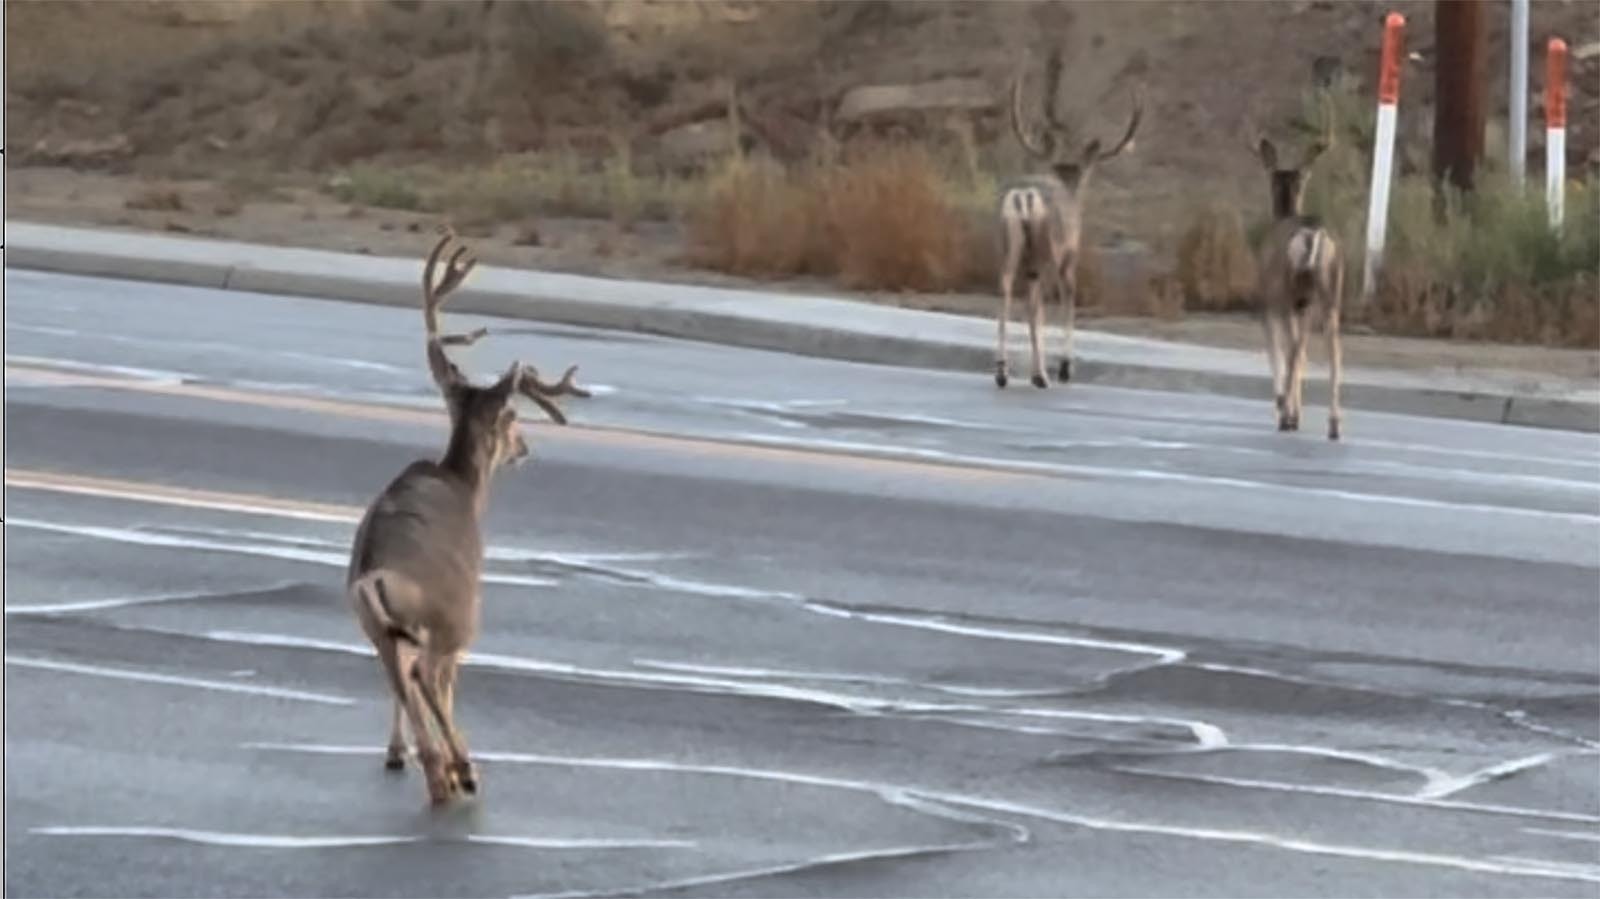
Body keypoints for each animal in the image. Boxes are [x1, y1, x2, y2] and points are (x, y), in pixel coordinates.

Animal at [347, 227, 592, 799]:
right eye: (512, 415)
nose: (524, 447)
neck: (463, 483)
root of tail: (374, 575)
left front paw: (394, 752)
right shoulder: (467, 603)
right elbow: (449, 681)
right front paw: (460, 764)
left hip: (374, 624)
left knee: (398, 677)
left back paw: (427, 763)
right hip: (451, 615)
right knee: (429, 675)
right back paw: (459, 768)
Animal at [992, 48, 1145, 385]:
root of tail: (1024, 196)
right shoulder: (1070, 255)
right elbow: (1068, 300)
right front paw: (1066, 366)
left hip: (1010, 244)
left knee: (1006, 289)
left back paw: (1003, 371)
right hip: (1046, 250)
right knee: (1038, 302)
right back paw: (1040, 375)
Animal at [1241, 128, 1344, 438]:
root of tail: (1313, 233)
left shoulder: (1268, 301)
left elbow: (1277, 350)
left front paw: (1285, 407)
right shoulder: (1304, 305)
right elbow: (1305, 354)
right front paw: (1295, 411)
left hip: (1286, 290)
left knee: (1294, 347)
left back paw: (1285, 414)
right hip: (1329, 292)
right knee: (1333, 351)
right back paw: (1334, 424)